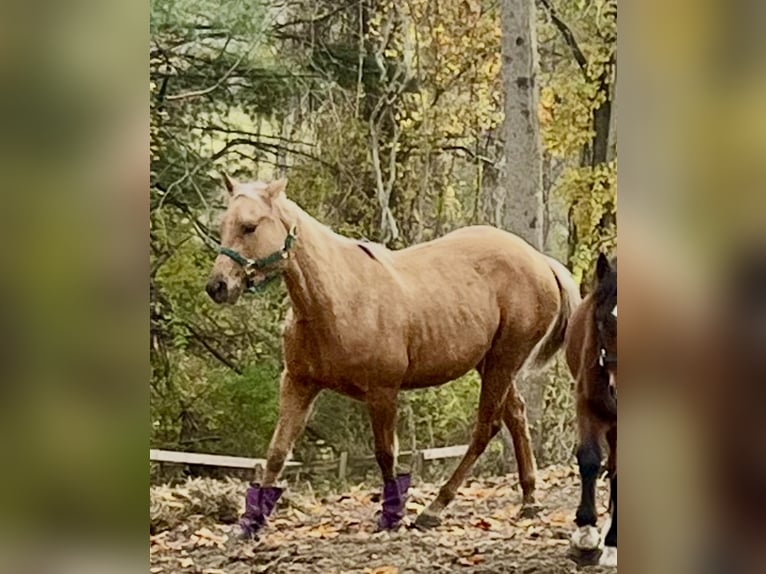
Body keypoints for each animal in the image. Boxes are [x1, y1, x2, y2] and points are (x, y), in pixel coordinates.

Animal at [205, 175, 580, 538]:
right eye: (223, 225)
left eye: (250, 226)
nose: (218, 286)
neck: (339, 298)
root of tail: (540, 260)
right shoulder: (299, 384)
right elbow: (277, 452)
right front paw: (251, 522)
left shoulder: (382, 392)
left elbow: (386, 455)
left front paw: (392, 515)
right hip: (490, 363)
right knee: (515, 415)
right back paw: (529, 499)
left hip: (504, 360)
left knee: (486, 427)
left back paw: (434, 509)